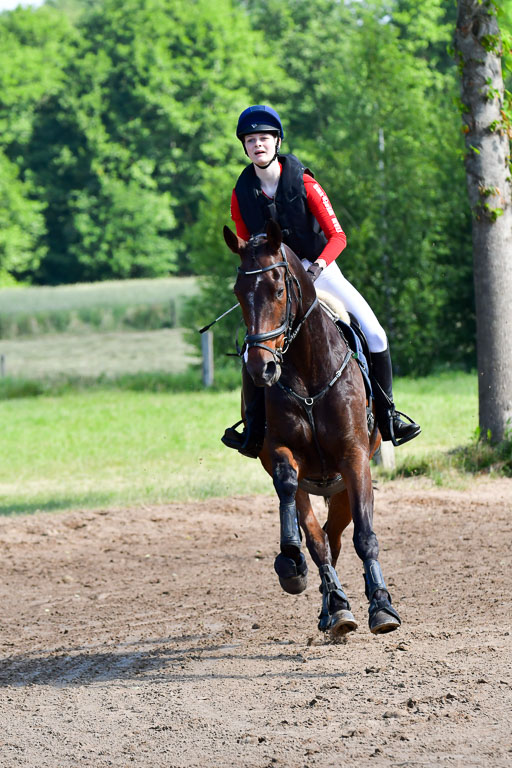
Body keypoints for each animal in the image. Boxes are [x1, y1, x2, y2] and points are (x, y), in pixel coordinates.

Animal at [224, 219, 401, 637]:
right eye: (239, 292)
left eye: (278, 289)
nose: (261, 368)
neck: (306, 369)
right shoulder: (279, 452)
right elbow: (290, 492)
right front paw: (291, 561)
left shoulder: (355, 458)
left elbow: (365, 537)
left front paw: (382, 607)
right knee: (321, 538)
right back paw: (332, 607)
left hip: (343, 485)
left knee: (335, 535)